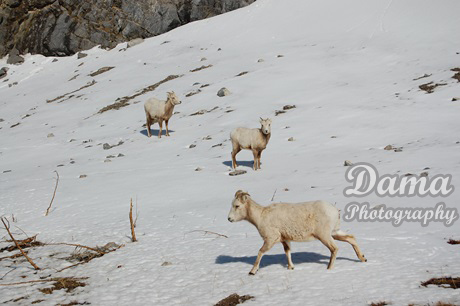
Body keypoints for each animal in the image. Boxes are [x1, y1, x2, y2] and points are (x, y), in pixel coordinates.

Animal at [228, 191, 368, 274]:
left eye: (237, 206)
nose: (229, 219)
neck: (261, 216)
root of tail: (335, 211)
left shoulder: (270, 239)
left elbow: (260, 252)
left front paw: (252, 271)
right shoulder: (285, 240)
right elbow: (288, 252)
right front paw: (291, 268)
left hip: (324, 235)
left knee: (334, 249)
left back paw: (328, 268)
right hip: (335, 232)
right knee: (351, 238)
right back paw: (363, 259)